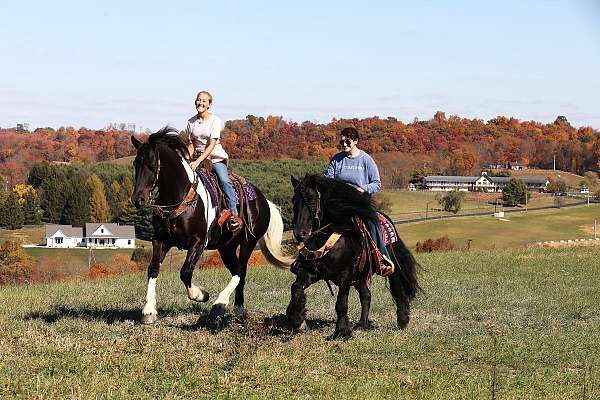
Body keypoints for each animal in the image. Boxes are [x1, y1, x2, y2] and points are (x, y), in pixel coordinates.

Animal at [130, 128, 294, 324]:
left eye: (152, 164)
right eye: (135, 164)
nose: (138, 199)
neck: (180, 196)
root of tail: (264, 201)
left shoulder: (198, 242)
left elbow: (185, 272)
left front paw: (201, 295)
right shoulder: (160, 240)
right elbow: (153, 268)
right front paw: (148, 311)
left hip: (248, 242)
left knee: (241, 272)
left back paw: (221, 304)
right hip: (227, 247)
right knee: (237, 272)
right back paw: (234, 308)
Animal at [284, 173, 418, 340]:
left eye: (313, 200)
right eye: (294, 200)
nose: (300, 233)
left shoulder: (345, 274)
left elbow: (341, 303)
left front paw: (341, 332)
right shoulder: (311, 272)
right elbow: (295, 287)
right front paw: (297, 319)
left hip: (389, 267)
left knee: (398, 288)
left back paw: (402, 320)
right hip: (360, 276)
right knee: (366, 295)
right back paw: (362, 324)